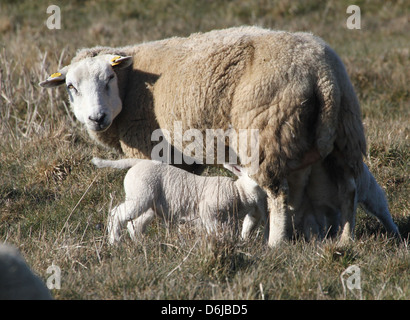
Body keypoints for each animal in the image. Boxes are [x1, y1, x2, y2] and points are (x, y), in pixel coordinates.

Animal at [91, 157, 268, 242]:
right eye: (251, 175)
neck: (238, 191)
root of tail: (137, 162)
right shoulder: (209, 210)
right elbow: (214, 230)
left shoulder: (241, 215)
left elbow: (245, 227)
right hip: (141, 194)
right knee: (116, 214)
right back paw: (115, 241)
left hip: (148, 202)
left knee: (136, 223)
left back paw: (139, 243)